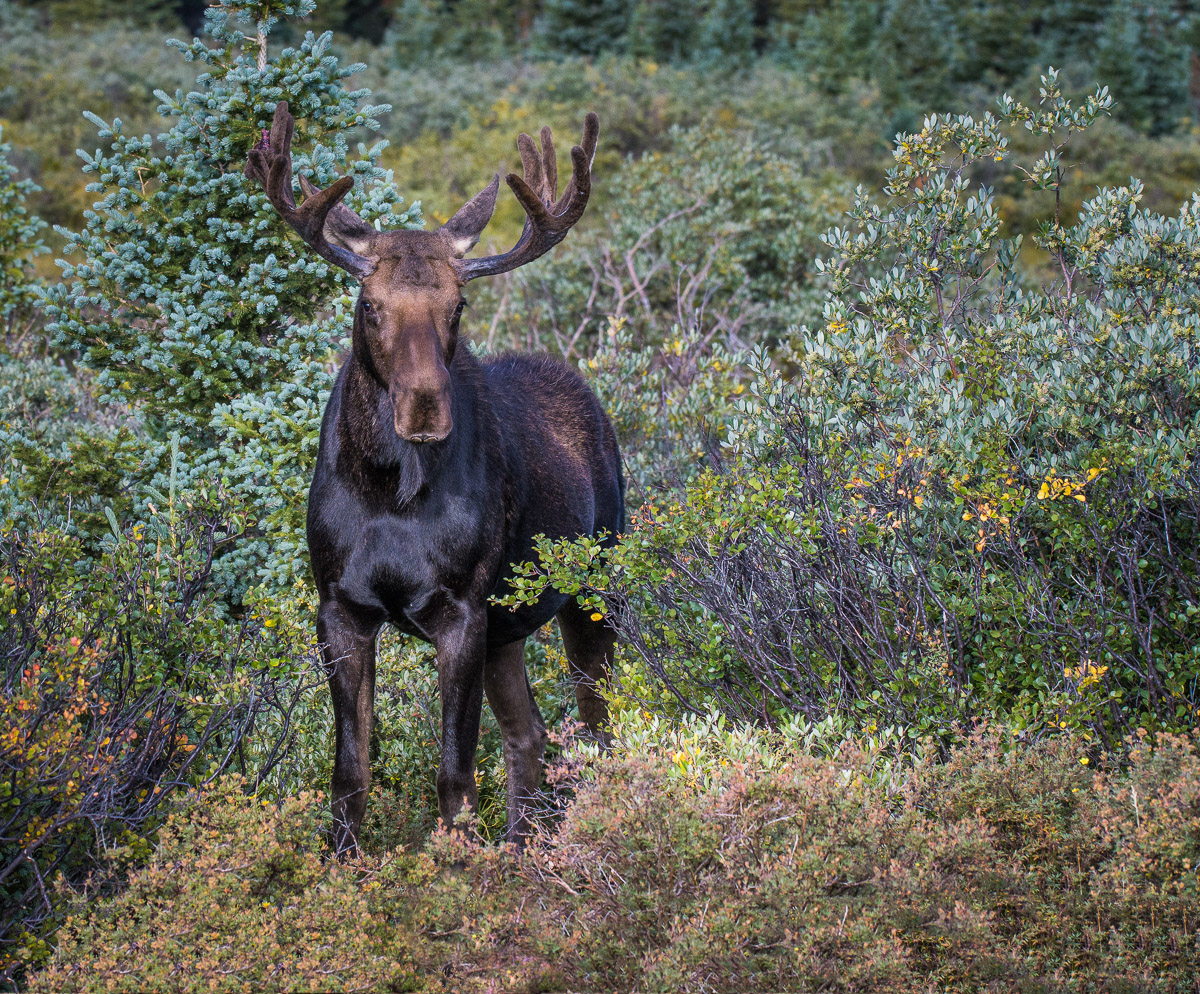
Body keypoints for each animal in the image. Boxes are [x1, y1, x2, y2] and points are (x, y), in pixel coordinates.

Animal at [245, 101, 622, 854]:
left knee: (600, 726)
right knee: (531, 734)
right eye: (368, 304)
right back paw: (521, 845)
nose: (424, 406)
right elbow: (350, 773)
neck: (390, 492)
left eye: (458, 306)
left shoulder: (462, 609)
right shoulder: (341, 607)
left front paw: (457, 863)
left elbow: (454, 775)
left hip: (594, 586)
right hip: (510, 628)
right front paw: (339, 863)